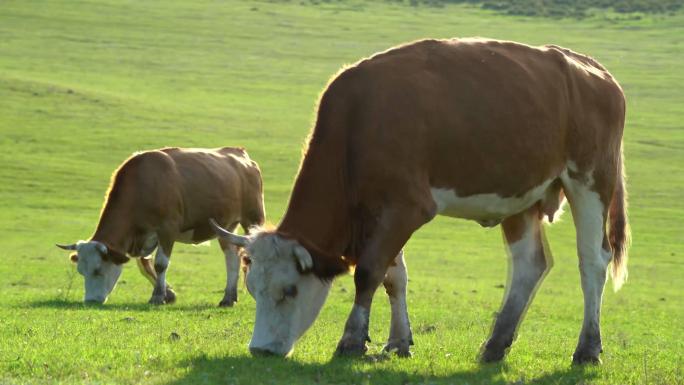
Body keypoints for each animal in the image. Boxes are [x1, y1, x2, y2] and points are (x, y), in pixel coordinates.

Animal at [57, 147, 264, 306]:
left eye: (98, 270)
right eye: (81, 271)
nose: (90, 301)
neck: (143, 185)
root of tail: (240, 153)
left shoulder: (167, 229)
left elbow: (160, 264)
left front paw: (157, 296)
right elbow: (144, 265)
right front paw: (168, 293)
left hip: (252, 218)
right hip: (226, 227)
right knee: (232, 258)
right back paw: (228, 298)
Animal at [212, 38, 632, 364]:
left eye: (289, 290)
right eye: (252, 289)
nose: (260, 350)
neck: (358, 122)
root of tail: (591, 69)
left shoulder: (407, 207)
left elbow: (369, 272)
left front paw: (352, 340)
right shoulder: (379, 212)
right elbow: (392, 276)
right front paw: (398, 341)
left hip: (590, 180)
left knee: (592, 262)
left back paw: (587, 348)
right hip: (521, 195)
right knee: (529, 264)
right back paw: (495, 345)